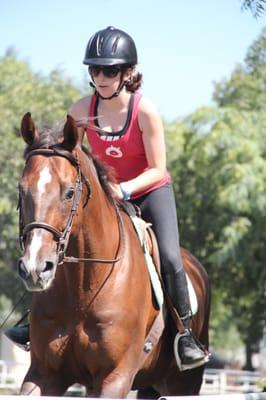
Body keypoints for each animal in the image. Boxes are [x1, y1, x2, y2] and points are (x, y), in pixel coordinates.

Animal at [17, 112, 211, 396]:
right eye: (21, 190)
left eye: (70, 192)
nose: (34, 269)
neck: (83, 288)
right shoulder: (43, 374)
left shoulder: (114, 377)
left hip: (183, 383)